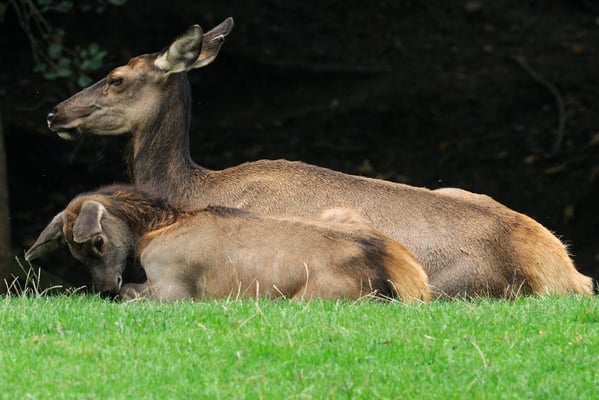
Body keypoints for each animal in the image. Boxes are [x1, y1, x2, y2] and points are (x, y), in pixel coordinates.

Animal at [24, 184, 431, 302]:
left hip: (311, 298)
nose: (106, 286)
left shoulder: (171, 289)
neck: (154, 230)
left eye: (97, 242)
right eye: (73, 253)